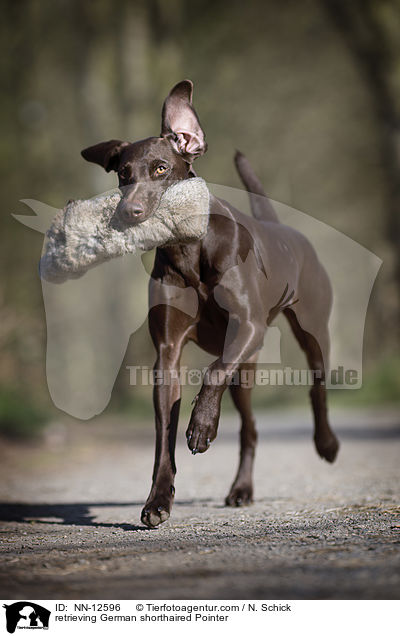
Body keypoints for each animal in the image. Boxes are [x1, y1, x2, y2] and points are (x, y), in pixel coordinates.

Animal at [81, 79, 338, 528]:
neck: (187, 249)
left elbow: (214, 372)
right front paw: (158, 501)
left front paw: (201, 425)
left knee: (315, 387)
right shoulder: (167, 353)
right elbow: (163, 434)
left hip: (306, 331)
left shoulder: (248, 325)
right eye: (123, 175)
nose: (129, 213)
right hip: (246, 370)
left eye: (161, 168)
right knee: (250, 427)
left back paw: (325, 443)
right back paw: (242, 488)